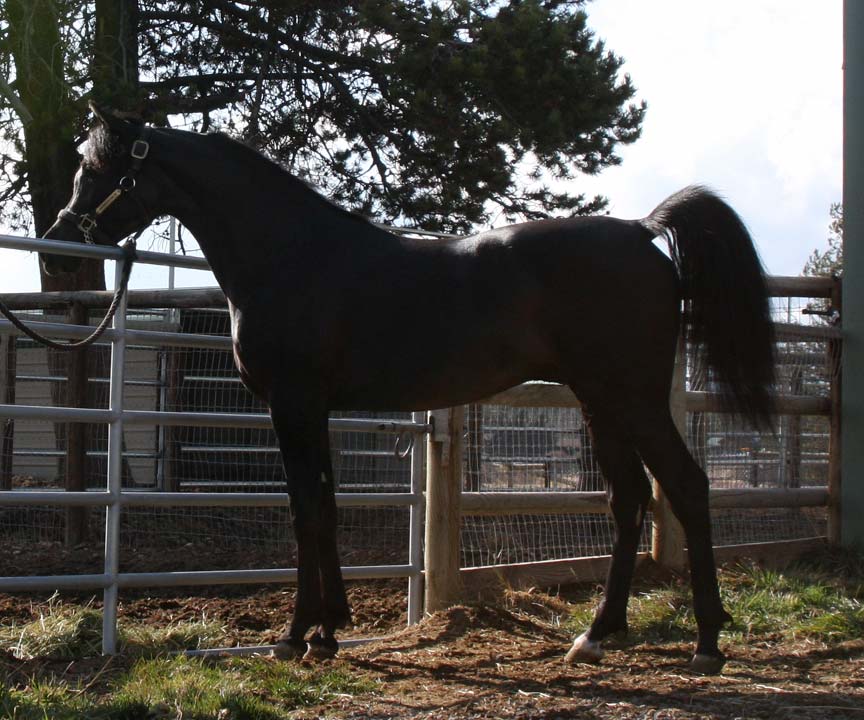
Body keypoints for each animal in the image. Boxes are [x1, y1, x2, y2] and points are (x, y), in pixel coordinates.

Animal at [40, 107, 772, 676]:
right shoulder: (315, 410)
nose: (58, 241)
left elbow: (305, 513)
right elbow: (325, 508)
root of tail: (643, 231)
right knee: (628, 500)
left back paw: (708, 643)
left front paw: (294, 638)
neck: (292, 255)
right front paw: (328, 631)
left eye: (98, 169)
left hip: (633, 398)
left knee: (687, 486)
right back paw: (597, 635)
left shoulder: (292, 404)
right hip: (601, 402)